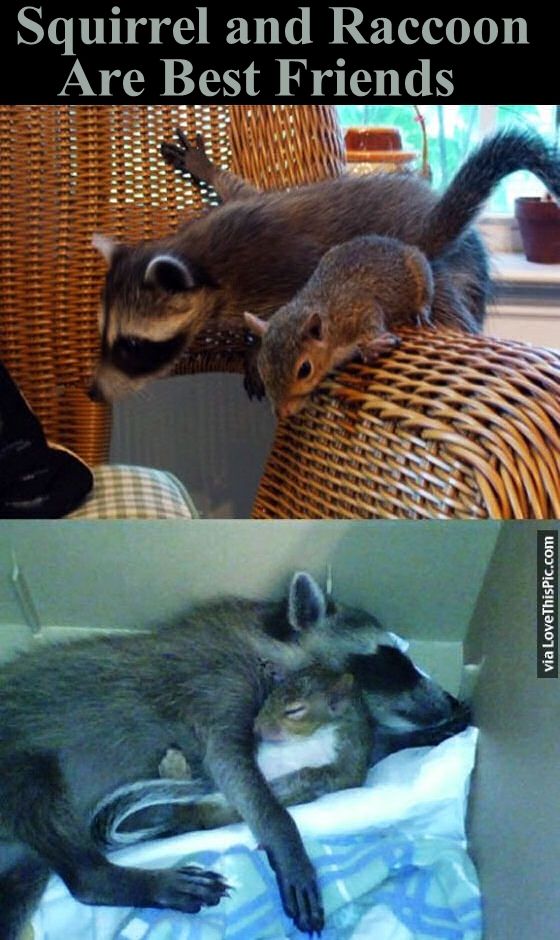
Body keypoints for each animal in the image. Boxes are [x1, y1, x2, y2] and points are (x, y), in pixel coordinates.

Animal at [244, 234, 434, 417]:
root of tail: (396, 243)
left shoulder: (358, 309)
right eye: (262, 368)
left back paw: (420, 312)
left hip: (419, 268)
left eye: (305, 369)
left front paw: (373, 346)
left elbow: (372, 324)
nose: (282, 413)